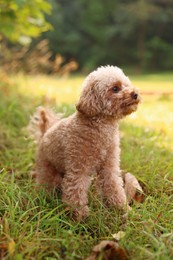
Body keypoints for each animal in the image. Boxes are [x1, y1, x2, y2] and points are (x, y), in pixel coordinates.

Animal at [29, 65, 143, 219]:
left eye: (127, 84)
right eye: (115, 88)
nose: (135, 94)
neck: (100, 127)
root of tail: (44, 133)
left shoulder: (109, 166)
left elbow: (114, 186)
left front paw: (121, 209)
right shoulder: (78, 168)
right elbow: (76, 191)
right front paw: (79, 216)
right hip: (46, 167)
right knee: (45, 183)